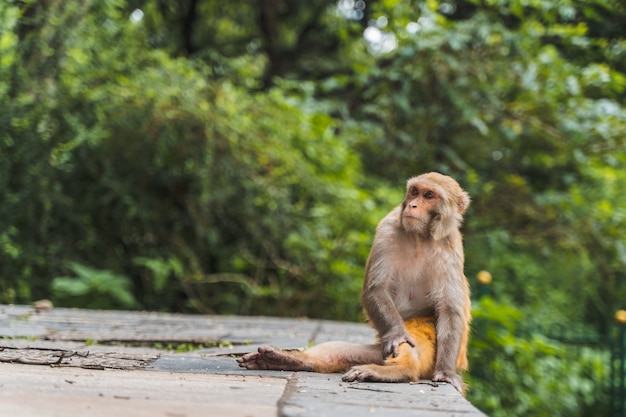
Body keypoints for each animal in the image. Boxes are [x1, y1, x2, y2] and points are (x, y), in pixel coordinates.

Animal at [236, 171, 470, 394]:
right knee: (349, 349)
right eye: (414, 192)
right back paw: (287, 359)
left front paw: (445, 372)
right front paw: (396, 333)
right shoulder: (387, 228)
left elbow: (449, 310)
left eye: (429, 195)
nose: (413, 205)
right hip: (379, 350)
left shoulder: (451, 250)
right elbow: (375, 290)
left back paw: (398, 370)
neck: (419, 238)